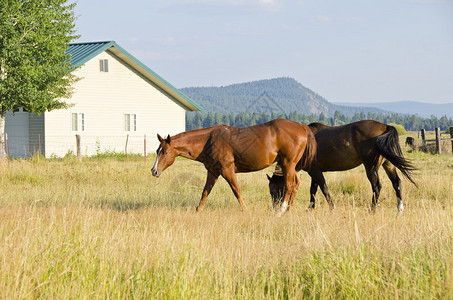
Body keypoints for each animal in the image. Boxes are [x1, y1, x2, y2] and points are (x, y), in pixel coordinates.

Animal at [150, 118, 316, 214]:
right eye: (157, 151)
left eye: (165, 152)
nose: (154, 170)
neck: (208, 140)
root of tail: (302, 126)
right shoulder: (213, 172)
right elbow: (205, 192)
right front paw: (198, 210)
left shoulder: (227, 170)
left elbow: (236, 190)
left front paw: (245, 210)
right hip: (289, 165)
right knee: (295, 184)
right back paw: (289, 210)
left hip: (288, 163)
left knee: (289, 185)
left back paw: (282, 209)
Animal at [266, 119, 414, 213]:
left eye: (273, 190)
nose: (274, 208)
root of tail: (385, 126)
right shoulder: (314, 172)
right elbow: (313, 190)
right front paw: (310, 208)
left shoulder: (315, 171)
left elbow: (324, 188)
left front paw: (331, 207)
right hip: (387, 164)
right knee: (396, 183)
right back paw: (400, 209)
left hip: (371, 167)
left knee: (377, 186)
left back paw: (372, 209)